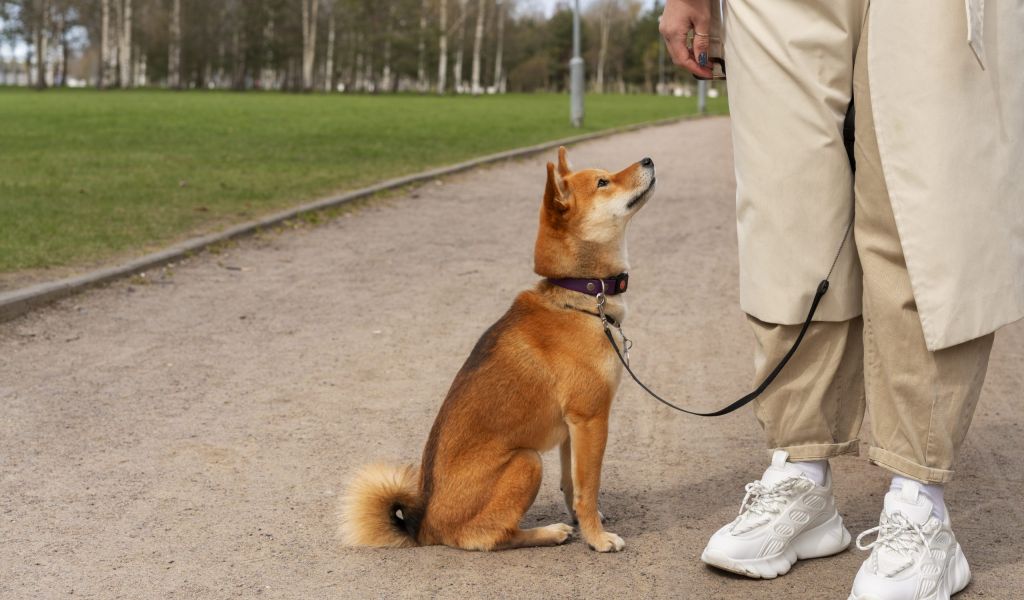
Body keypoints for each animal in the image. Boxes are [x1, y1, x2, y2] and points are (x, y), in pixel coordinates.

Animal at [337, 144, 655, 552]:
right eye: (603, 182)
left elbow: (572, 485)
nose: (648, 160)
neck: (580, 297)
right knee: (489, 536)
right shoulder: (591, 418)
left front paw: (585, 523)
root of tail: (424, 528)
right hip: (527, 460)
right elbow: (589, 488)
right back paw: (547, 533)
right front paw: (596, 537)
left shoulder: (572, 429)